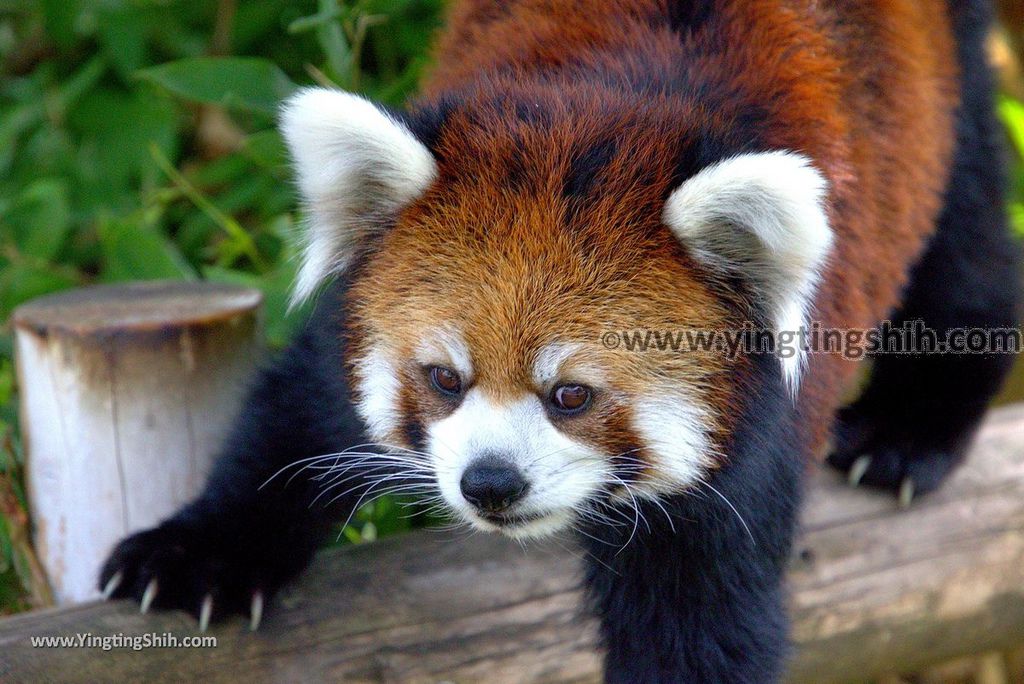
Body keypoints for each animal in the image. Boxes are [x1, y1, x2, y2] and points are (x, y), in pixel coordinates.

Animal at [97, 1, 1015, 679]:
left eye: (571, 394)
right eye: (444, 379)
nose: (490, 484)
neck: (599, 118)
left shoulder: (747, 445)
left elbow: (698, 628)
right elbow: (293, 415)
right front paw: (199, 551)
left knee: (966, 217)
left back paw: (910, 427)